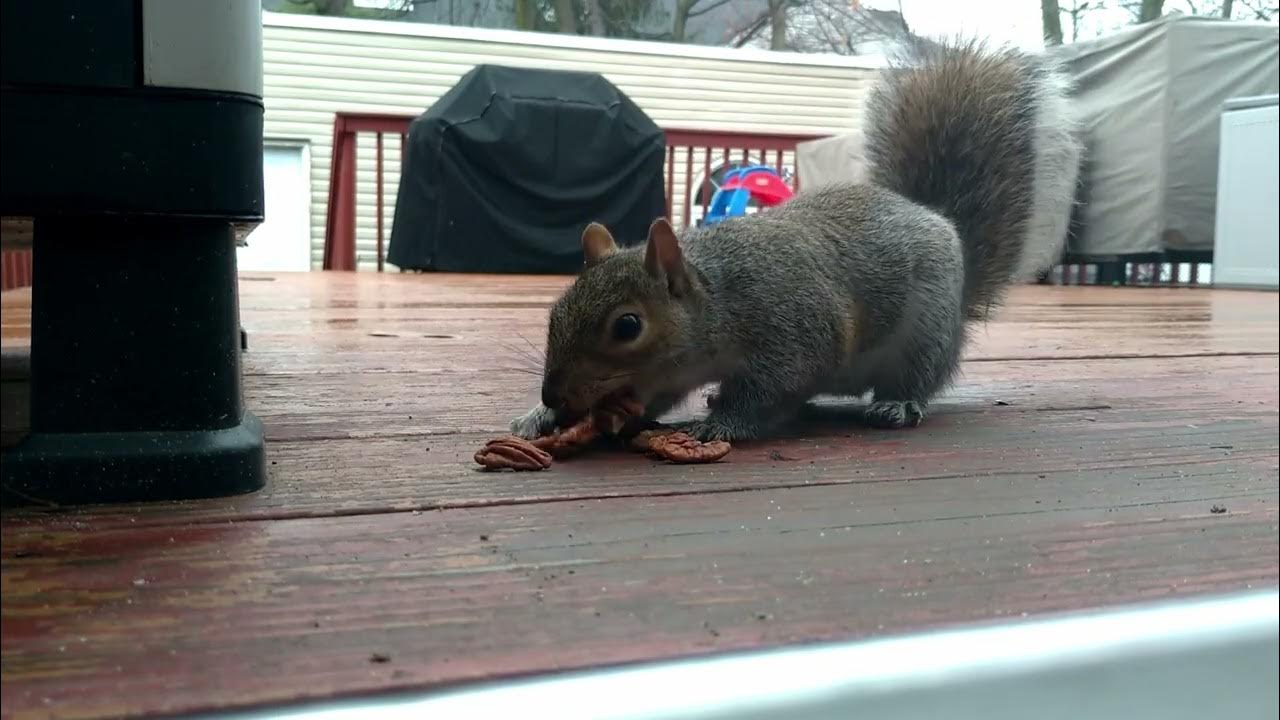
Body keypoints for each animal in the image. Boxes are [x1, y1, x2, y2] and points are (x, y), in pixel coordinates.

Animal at [511, 39, 1083, 443]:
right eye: (554, 312)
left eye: (628, 326)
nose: (554, 395)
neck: (718, 299)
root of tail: (939, 222)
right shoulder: (667, 375)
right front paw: (540, 418)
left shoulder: (792, 334)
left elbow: (769, 391)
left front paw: (720, 425)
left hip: (927, 332)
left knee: (917, 377)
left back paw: (897, 403)